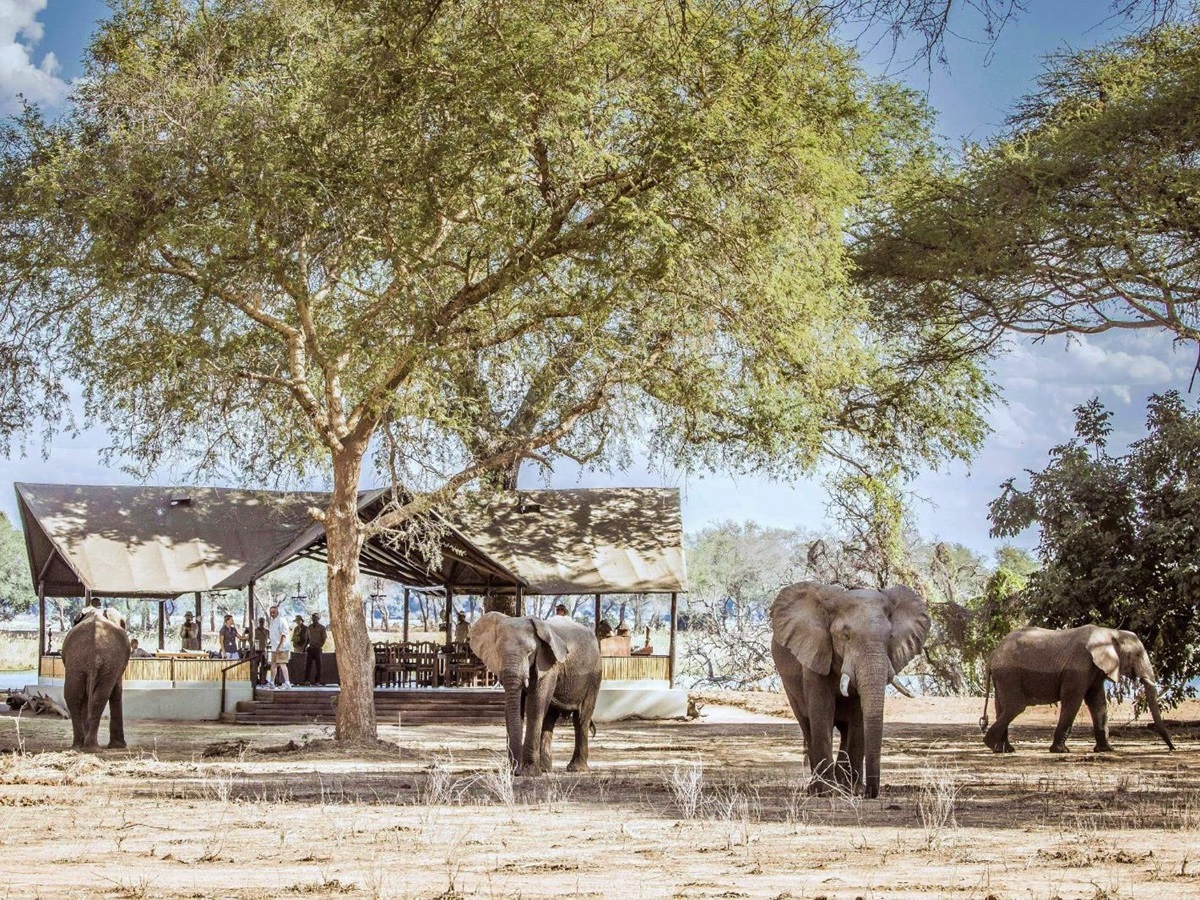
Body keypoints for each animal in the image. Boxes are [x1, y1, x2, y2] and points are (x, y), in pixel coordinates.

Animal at [60, 607, 131, 752]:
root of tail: (93, 652)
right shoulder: (118, 664)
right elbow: (117, 690)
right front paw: (119, 746)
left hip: (77, 663)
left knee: (73, 695)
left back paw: (79, 746)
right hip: (107, 663)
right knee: (101, 696)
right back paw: (92, 747)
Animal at [469, 611, 602, 776]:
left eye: (530, 653)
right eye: (498, 652)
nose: (516, 770)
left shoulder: (549, 663)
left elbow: (535, 704)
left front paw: (529, 772)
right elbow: (512, 708)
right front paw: (516, 769)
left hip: (594, 674)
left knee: (581, 717)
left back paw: (576, 769)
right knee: (550, 717)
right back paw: (545, 768)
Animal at [770, 581, 930, 799]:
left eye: (890, 637)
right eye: (846, 636)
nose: (870, 792)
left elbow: (859, 716)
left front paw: (855, 790)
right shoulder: (816, 656)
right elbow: (822, 712)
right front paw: (826, 791)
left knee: (845, 729)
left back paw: (844, 785)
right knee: (807, 725)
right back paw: (817, 788)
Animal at [983, 625, 1175, 754]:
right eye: (1137, 655)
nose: (1172, 748)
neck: (1110, 632)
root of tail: (993, 655)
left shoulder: (1095, 670)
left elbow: (1098, 702)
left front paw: (1106, 750)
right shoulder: (1079, 667)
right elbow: (1073, 699)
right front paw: (1061, 751)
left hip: (1003, 676)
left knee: (1002, 707)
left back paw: (1004, 749)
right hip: (1009, 673)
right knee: (1015, 707)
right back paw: (990, 744)